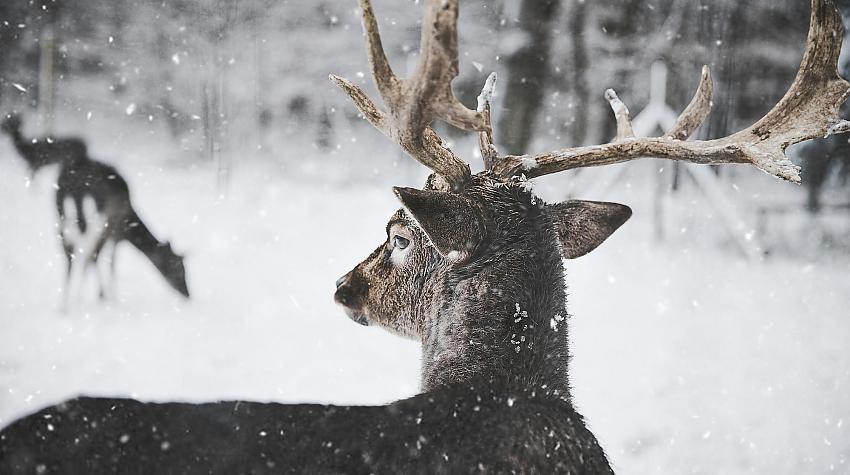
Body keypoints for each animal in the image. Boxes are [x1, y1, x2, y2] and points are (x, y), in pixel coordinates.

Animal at [0, 115, 189, 308]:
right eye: (178, 267)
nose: (187, 294)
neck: (130, 226)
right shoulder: (114, 230)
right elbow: (109, 261)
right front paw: (108, 296)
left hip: (62, 210)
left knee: (69, 250)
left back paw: (65, 303)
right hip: (93, 216)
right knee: (86, 252)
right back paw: (81, 297)